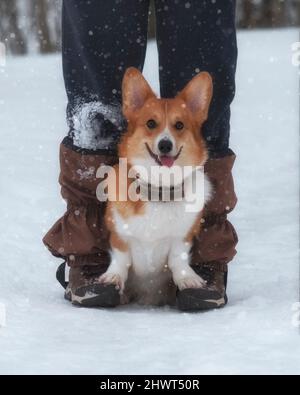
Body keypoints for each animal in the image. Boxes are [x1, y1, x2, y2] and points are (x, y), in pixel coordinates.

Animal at [99, 68, 212, 306]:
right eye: (151, 123)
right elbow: (121, 258)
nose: (165, 145)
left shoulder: (183, 236)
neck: (160, 188)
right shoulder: (119, 234)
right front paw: (113, 277)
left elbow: (178, 258)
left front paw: (188, 280)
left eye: (179, 125)